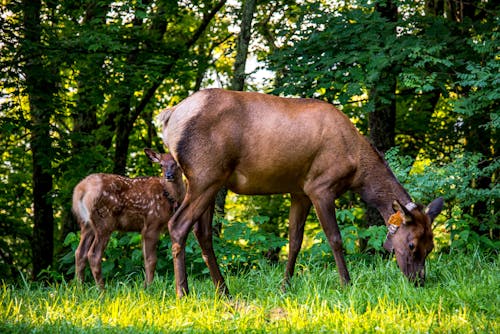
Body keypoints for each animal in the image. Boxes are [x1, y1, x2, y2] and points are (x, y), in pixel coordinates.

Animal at [72, 149, 186, 288]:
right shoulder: (151, 223)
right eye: (161, 165)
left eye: (176, 163)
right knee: (94, 254)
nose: (168, 176)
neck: (169, 197)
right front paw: (148, 287)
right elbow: (151, 260)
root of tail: (81, 190)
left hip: (86, 224)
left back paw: (79, 287)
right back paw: (102, 289)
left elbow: (146, 258)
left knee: (79, 252)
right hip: (104, 221)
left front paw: (145, 286)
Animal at [158, 87, 444, 296]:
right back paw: (183, 293)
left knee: (202, 232)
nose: (419, 281)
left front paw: (285, 287)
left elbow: (294, 241)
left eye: (431, 246)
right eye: (412, 244)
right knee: (178, 225)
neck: (357, 169)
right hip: (204, 175)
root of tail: (169, 117)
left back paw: (223, 291)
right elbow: (335, 239)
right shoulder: (320, 186)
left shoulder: (300, 191)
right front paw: (347, 284)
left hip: (211, 181)